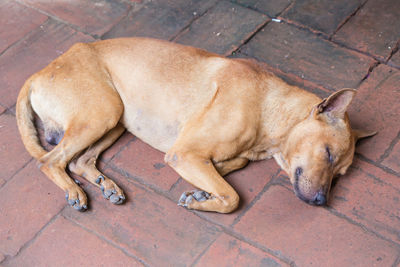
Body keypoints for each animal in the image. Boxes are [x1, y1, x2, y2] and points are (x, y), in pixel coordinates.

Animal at [16, 37, 376, 214]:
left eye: (341, 173)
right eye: (328, 154)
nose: (321, 202)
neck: (268, 106)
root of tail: (38, 73)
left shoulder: (210, 157)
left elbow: (229, 169)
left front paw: (203, 193)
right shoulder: (184, 154)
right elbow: (232, 197)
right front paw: (206, 200)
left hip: (115, 120)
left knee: (79, 160)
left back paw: (107, 185)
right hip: (103, 112)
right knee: (50, 161)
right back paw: (74, 191)